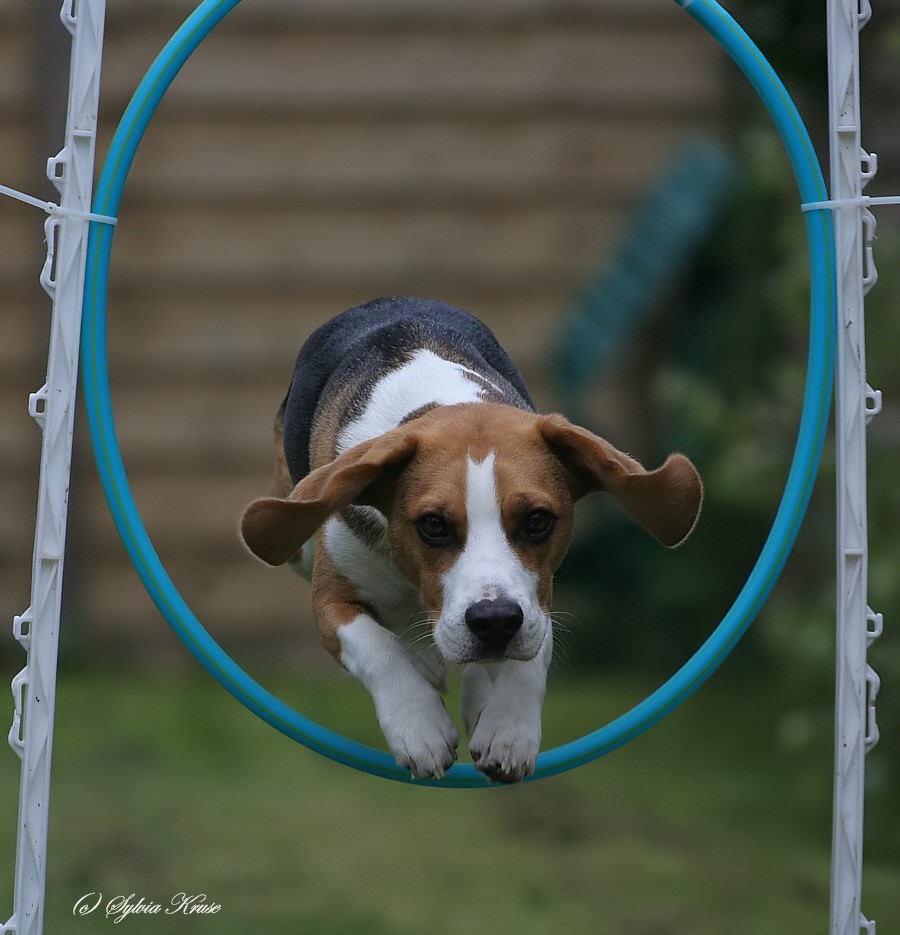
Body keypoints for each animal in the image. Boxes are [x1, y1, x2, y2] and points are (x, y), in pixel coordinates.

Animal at [241, 298, 704, 784]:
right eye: (433, 525)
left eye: (538, 520)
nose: (495, 622)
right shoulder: (331, 599)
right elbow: (375, 645)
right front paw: (418, 726)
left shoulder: (539, 594)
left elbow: (535, 647)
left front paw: (510, 726)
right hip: (296, 535)